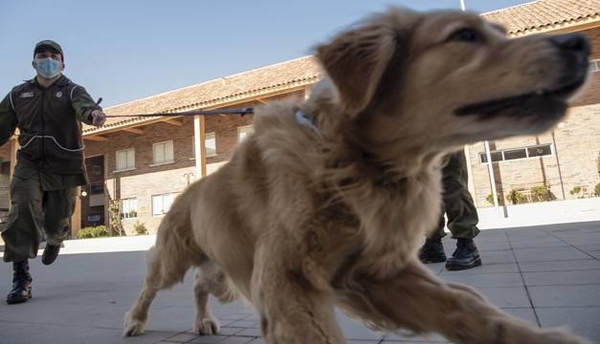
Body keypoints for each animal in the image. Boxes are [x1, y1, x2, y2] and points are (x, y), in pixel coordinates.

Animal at [122, 6, 592, 344]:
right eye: (464, 35)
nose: (580, 43)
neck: (351, 162)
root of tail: (190, 189)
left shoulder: (375, 272)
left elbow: (467, 307)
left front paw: (537, 337)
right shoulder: (286, 280)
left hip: (220, 265)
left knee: (202, 285)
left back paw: (203, 321)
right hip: (173, 256)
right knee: (152, 284)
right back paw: (135, 319)